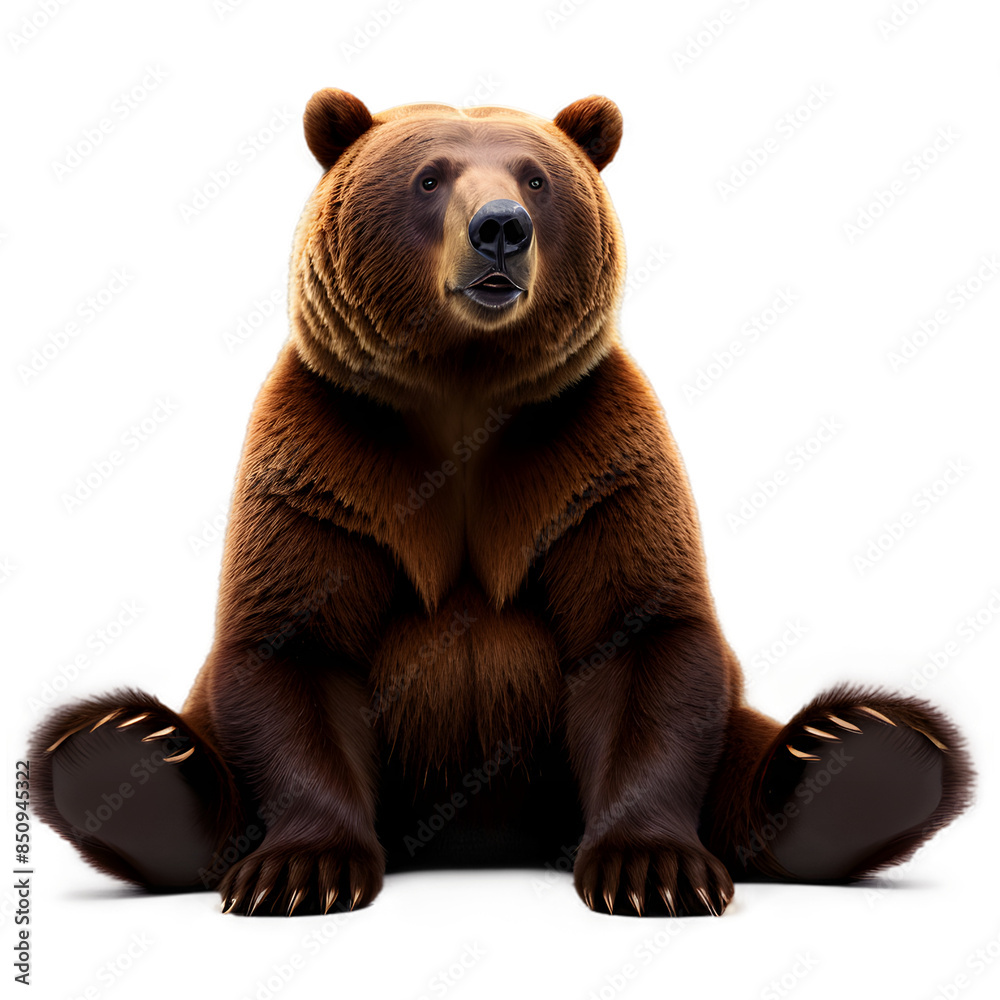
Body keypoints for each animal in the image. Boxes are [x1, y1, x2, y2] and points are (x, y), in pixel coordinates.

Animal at [30, 89, 974, 918]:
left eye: (537, 178)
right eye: (429, 177)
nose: (500, 229)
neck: (463, 388)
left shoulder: (593, 460)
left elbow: (643, 637)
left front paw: (652, 870)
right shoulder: (326, 465)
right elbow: (292, 646)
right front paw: (300, 870)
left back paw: (862, 754)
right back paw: (129, 756)